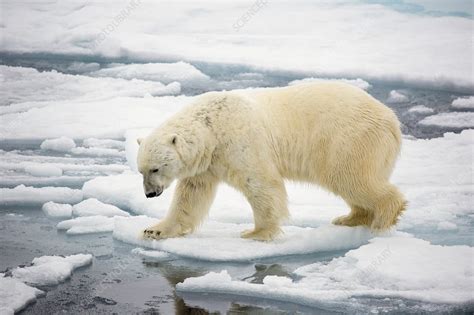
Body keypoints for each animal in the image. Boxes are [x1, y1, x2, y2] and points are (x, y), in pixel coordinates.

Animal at [138, 82, 408, 242]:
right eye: (141, 171)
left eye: (155, 168)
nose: (150, 194)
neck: (212, 127)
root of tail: (392, 120)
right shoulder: (208, 162)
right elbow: (191, 195)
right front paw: (155, 230)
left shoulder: (240, 143)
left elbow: (261, 184)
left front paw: (256, 232)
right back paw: (349, 218)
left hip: (349, 139)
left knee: (351, 177)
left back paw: (383, 219)